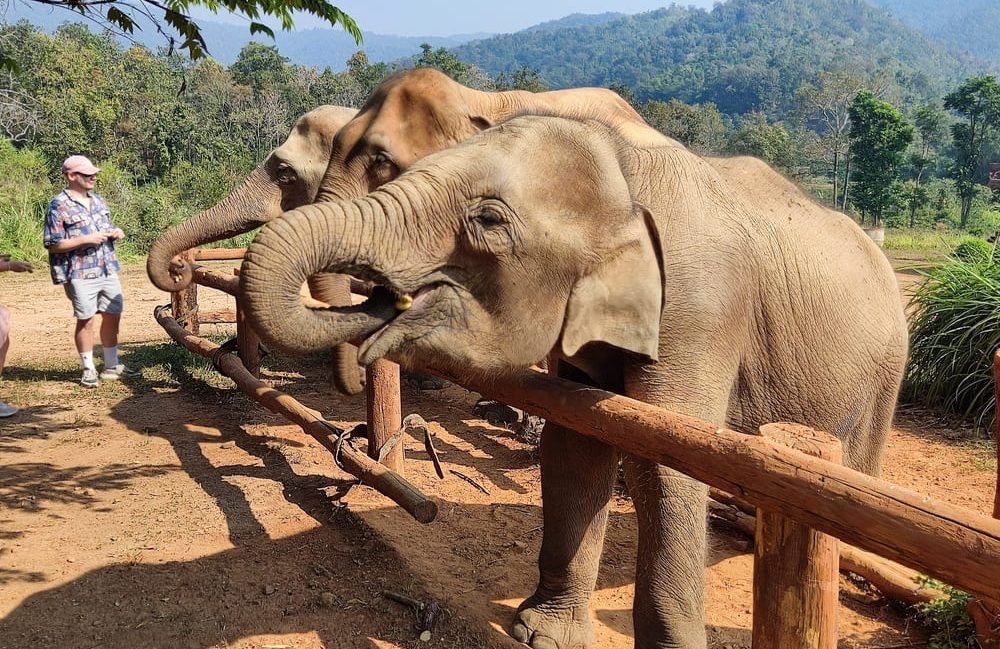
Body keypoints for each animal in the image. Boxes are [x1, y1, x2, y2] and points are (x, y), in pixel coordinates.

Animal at [236, 114, 908, 648]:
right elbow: (578, 440)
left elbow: (667, 464)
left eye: (488, 219)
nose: (382, 300)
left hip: (886, 372)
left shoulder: (703, 306)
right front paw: (541, 634)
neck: (627, 166)